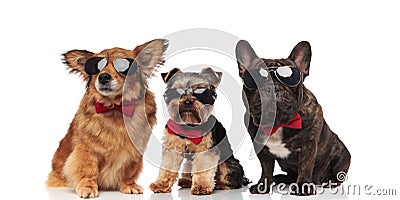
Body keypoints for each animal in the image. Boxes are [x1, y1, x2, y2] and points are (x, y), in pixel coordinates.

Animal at [47, 39, 169, 198]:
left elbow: (128, 171)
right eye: (97, 68)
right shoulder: (87, 151)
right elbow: (87, 169)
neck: (115, 107)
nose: (103, 76)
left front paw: (128, 185)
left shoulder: (133, 153)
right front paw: (87, 187)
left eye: (123, 65)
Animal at [150, 67, 248, 195]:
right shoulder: (172, 147)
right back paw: (186, 181)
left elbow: (203, 167)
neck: (189, 125)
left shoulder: (205, 150)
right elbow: (168, 166)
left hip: (228, 164)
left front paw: (201, 187)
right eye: (178, 91)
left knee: (232, 180)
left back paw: (220, 184)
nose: (187, 102)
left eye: (201, 92)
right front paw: (161, 184)